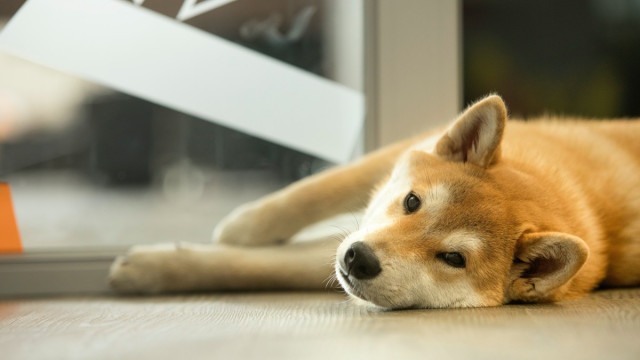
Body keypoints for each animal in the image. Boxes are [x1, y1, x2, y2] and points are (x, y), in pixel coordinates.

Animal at [110, 95, 640, 310]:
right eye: (411, 202)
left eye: (453, 258)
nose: (357, 258)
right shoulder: (398, 157)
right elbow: (316, 189)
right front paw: (243, 227)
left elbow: (261, 270)